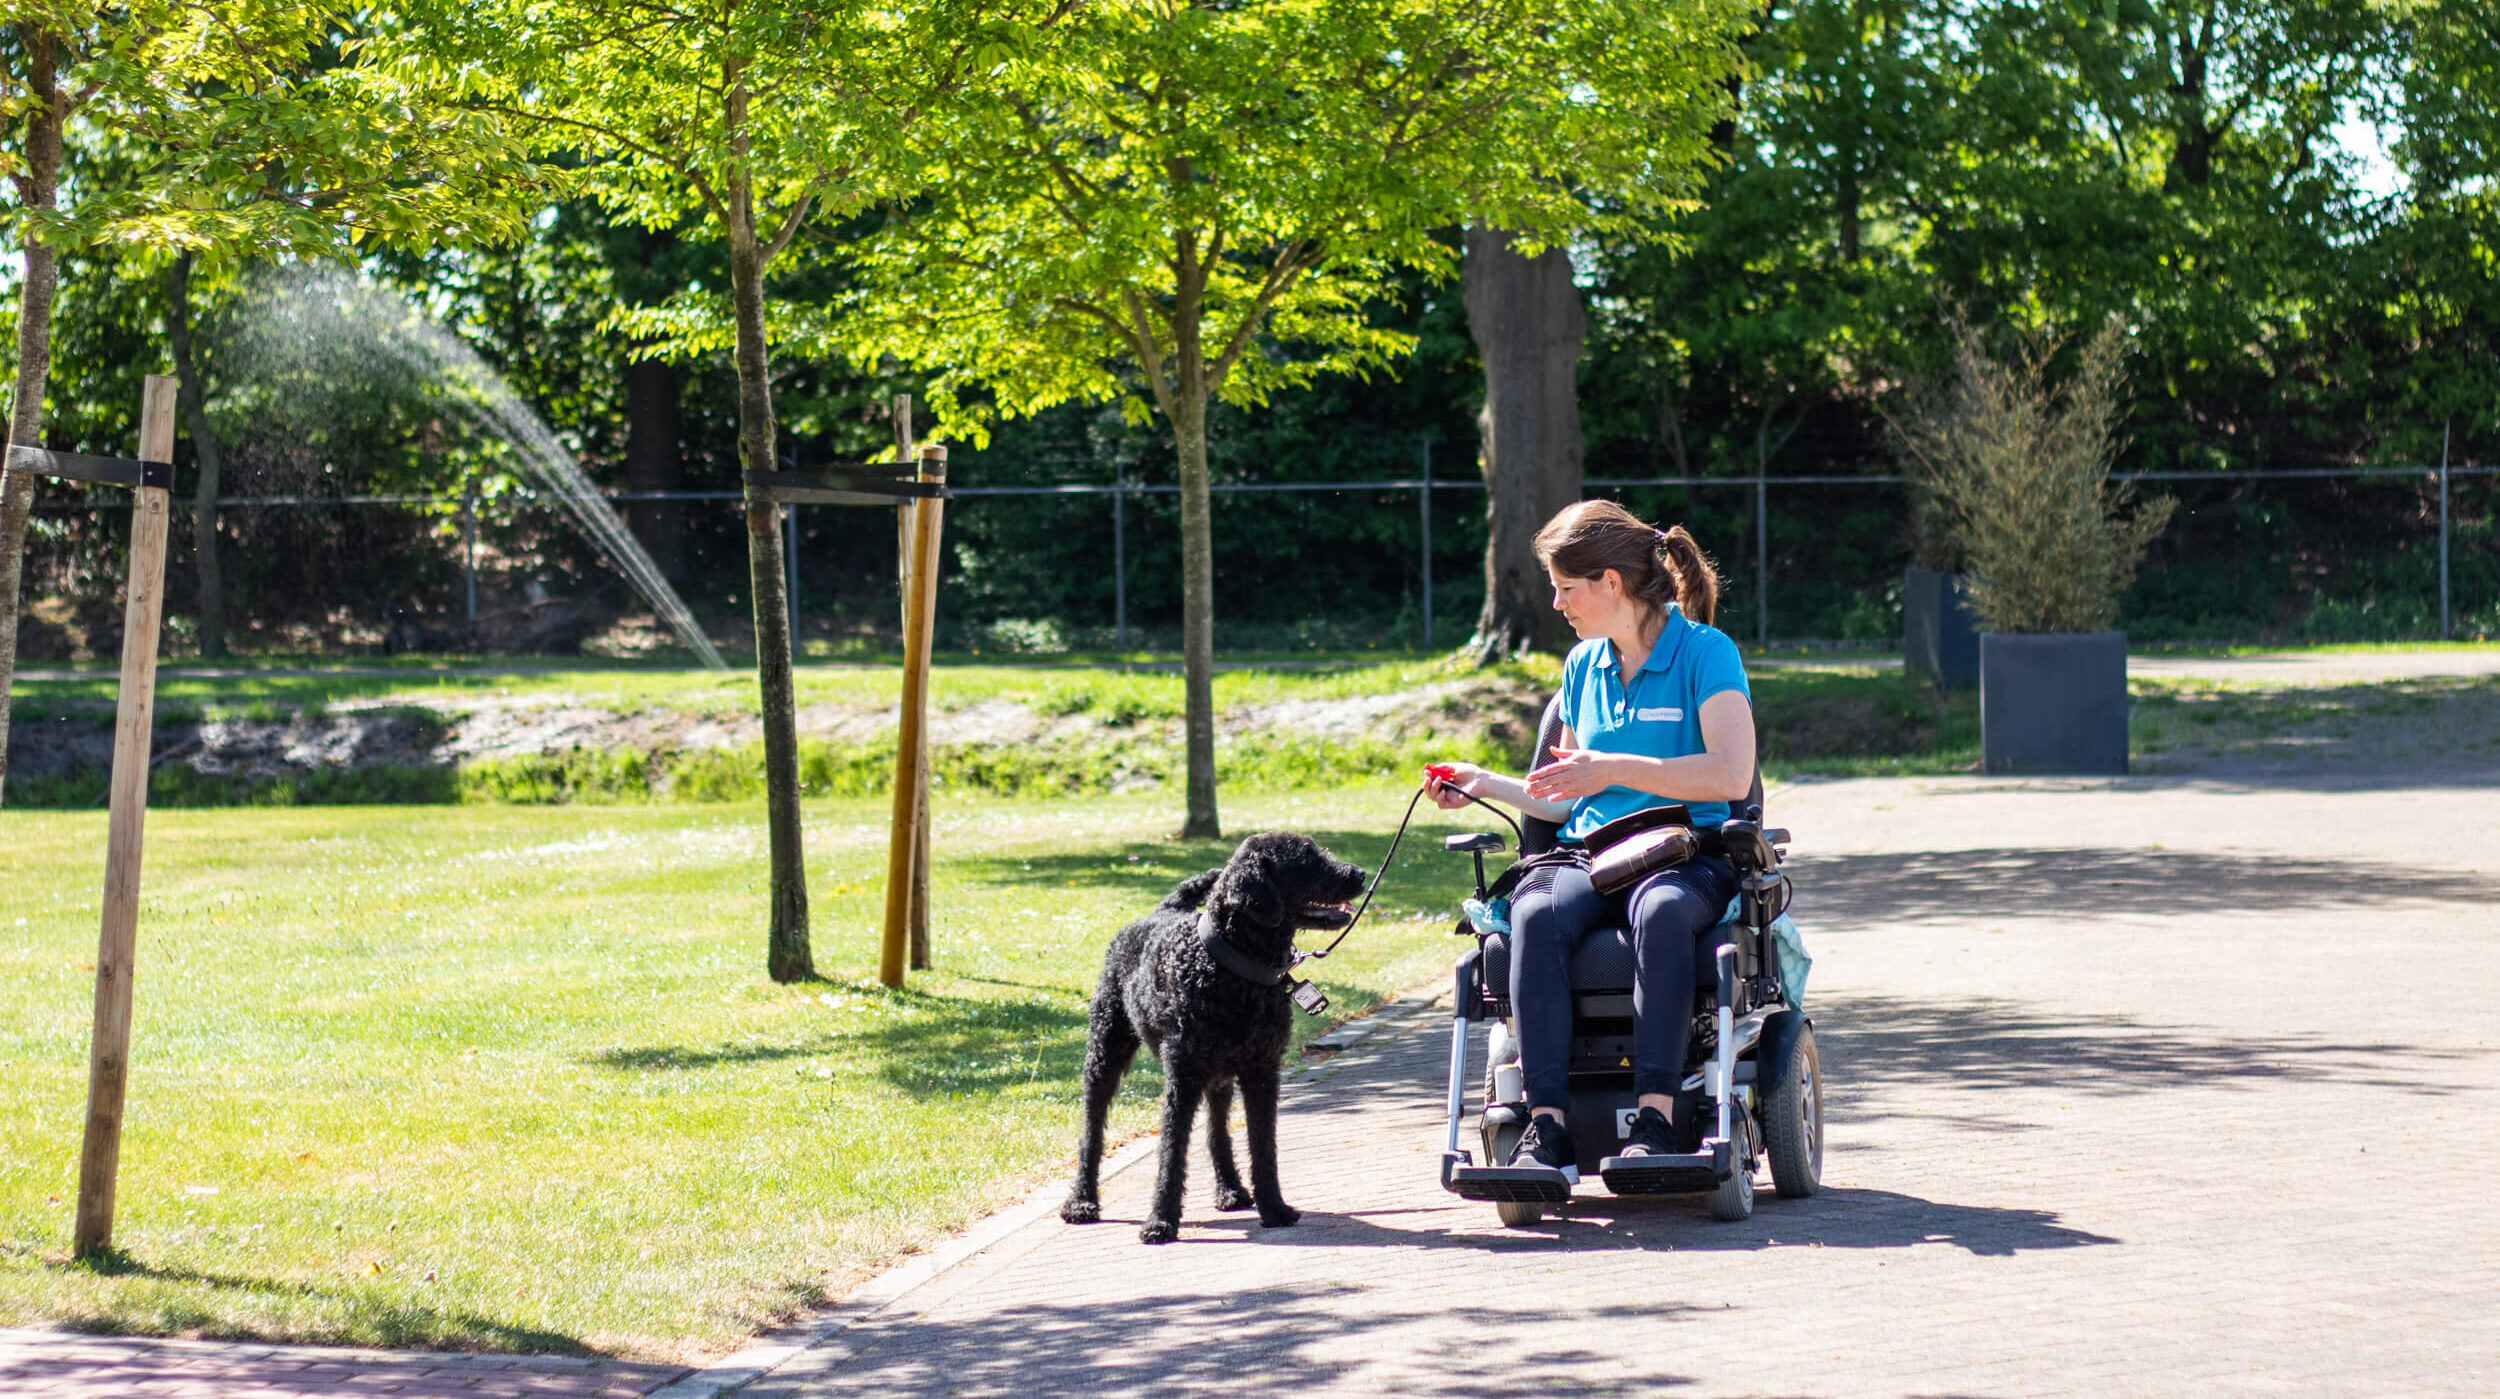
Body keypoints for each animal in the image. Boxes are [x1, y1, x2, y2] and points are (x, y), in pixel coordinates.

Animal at [1055, 824, 1370, 1239]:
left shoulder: (1262, 1073)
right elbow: (1171, 1152)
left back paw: (1230, 1189)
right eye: (1306, 858)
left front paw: (1274, 1208)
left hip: (1218, 1077)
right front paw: (1160, 1220)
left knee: (1217, 1129)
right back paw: (1082, 1201)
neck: (1232, 970)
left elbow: (1263, 1145)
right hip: (1104, 1054)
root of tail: (1165, 910)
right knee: (1091, 1132)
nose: (1360, 874)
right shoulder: (1182, 1078)